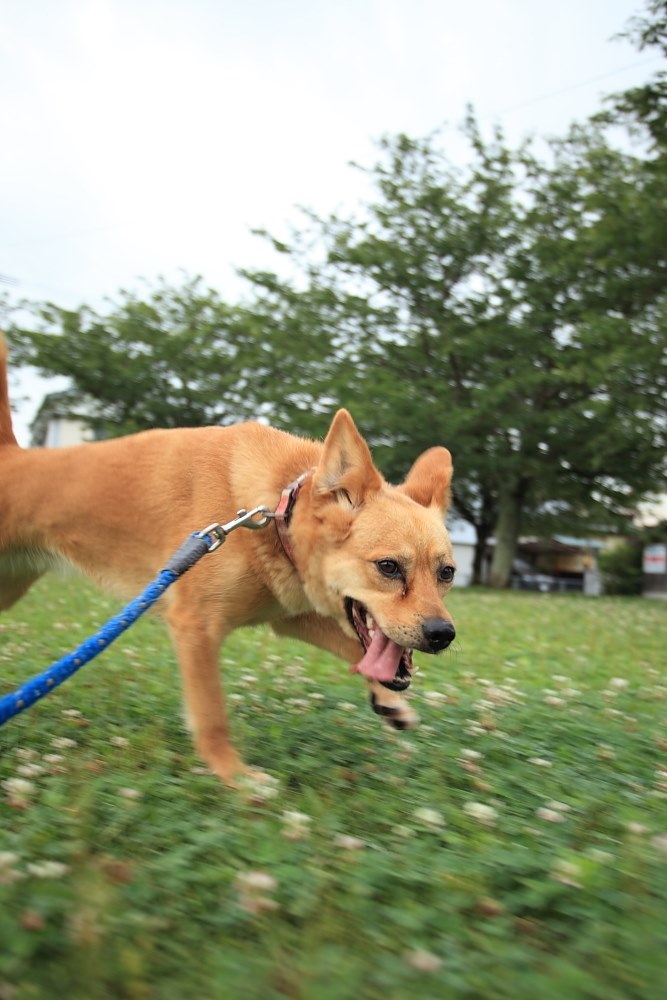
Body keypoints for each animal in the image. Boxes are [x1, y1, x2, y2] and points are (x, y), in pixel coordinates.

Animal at [0, 336, 456, 780]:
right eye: (388, 567)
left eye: (447, 573)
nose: (443, 635)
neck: (276, 512)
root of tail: (12, 456)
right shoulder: (196, 627)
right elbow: (212, 716)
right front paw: (236, 777)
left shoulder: (289, 617)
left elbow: (353, 647)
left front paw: (387, 699)